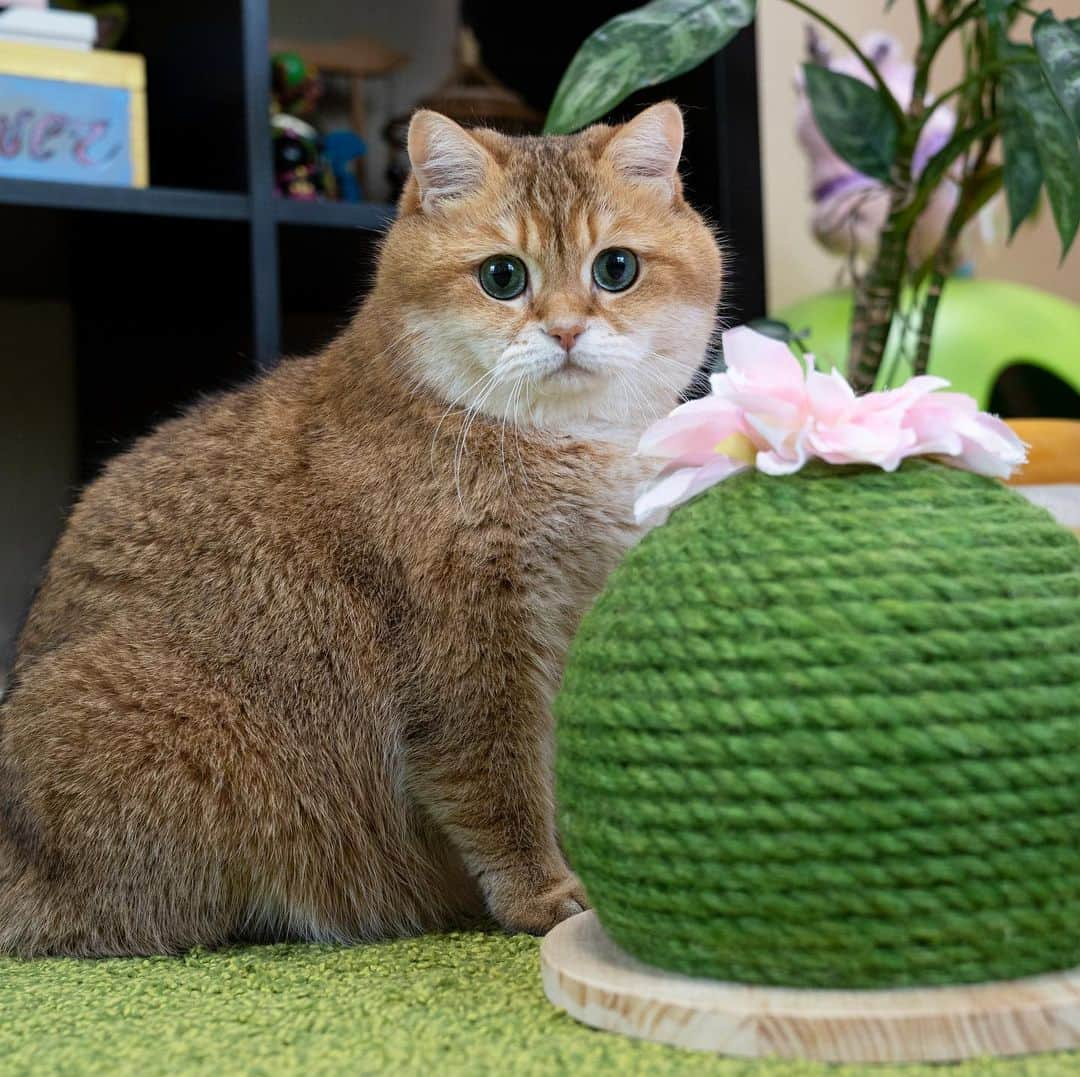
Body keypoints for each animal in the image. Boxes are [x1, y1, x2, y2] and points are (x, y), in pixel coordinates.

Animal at [2, 105, 725, 954]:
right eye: (503, 277)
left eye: (616, 268)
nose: (568, 330)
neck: (553, 445)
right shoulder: (472, 649)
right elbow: (501, 782)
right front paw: (542, 891)